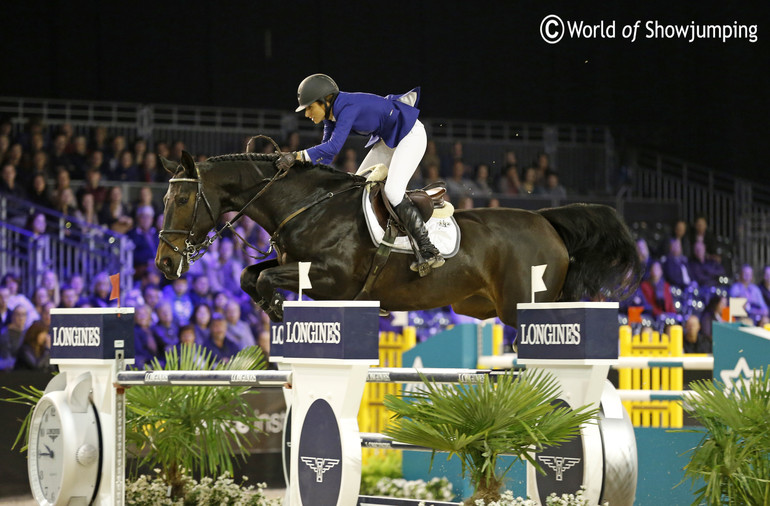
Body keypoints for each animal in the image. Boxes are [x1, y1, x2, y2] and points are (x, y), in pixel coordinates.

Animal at [153, 150, 640, 324]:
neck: (307, 204)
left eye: (182, 200)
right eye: (163, 198)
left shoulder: (331, 278)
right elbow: (249, 276)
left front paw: (274, 306)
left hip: (523, 308)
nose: (164, 262)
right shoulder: (297, 266)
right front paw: (269, 308)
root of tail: (547, 222)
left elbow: (266, 278)